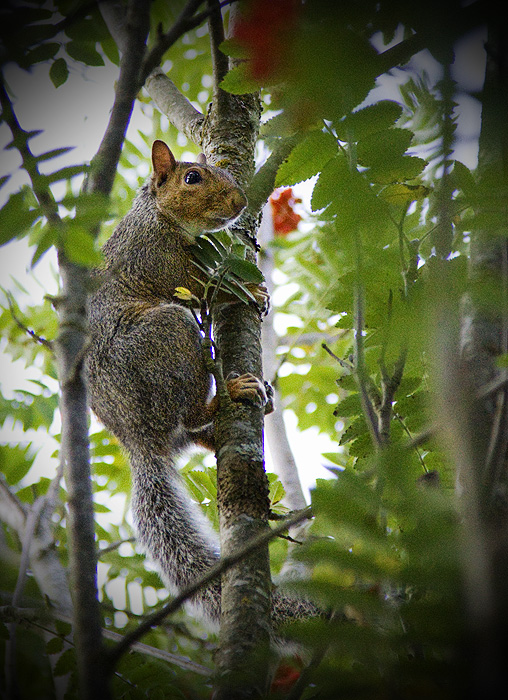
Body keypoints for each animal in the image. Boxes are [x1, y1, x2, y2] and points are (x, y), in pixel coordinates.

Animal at [87, 141, 318, 624]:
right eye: (191, 178)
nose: (240, 202)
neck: (157, 214)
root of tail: (137, 438)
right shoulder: (154, 258)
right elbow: (196, 284)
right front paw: (246, 291)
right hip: (167, 336)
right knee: (190, 413)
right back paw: (231, 393)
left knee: (191, 433)